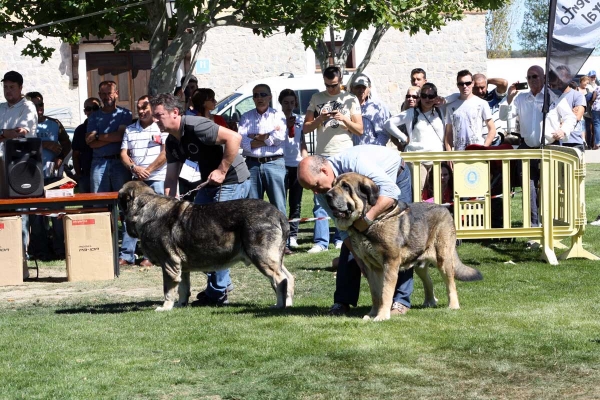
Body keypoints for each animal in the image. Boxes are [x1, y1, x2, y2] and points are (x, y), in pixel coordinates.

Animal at [118, 181, 296, 312]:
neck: (144, 207)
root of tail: (279, 215)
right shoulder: (181, 267)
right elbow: (183, 288)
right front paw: (180, 304)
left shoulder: (169, 263)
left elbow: (168, 289)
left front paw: (165, 307)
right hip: (273, 258)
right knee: (288, 277)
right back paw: (287, 304)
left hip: (261, 256)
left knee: (280, 279)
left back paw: (279, 305)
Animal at [326, 172, 480, 322]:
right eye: (332, 185)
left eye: (346, 186)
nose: (327, 195)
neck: (371, 223)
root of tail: (446, 209)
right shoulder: (372, 268)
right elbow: (376, 294)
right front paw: (372, 314)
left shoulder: (390, 264)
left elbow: (386, 293)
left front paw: (382, 316)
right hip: (420, 265)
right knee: (428, 281)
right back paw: (430, 302)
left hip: (443, 259)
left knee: (451, 284)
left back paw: (453, 306)